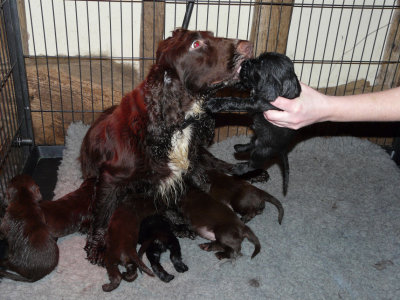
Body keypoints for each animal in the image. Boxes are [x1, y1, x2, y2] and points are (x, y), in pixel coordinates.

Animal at [79, 27, 252, 262]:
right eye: (196, 44)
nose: (247, 45)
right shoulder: (112, 177)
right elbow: (103, 214)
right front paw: (97, 246)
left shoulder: (189, 162)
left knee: (220, 165)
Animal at [206, 52, 300, 195]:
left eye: (259, 64)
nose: (244, 62)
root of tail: (283, 150)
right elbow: (241, 85)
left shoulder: (258, 102)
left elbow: (235, 101)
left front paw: (215, 103)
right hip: (258, 137)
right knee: (252, 144)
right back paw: (239, 147)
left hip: (262, 151)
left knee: (253, 164)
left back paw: (238, 168)